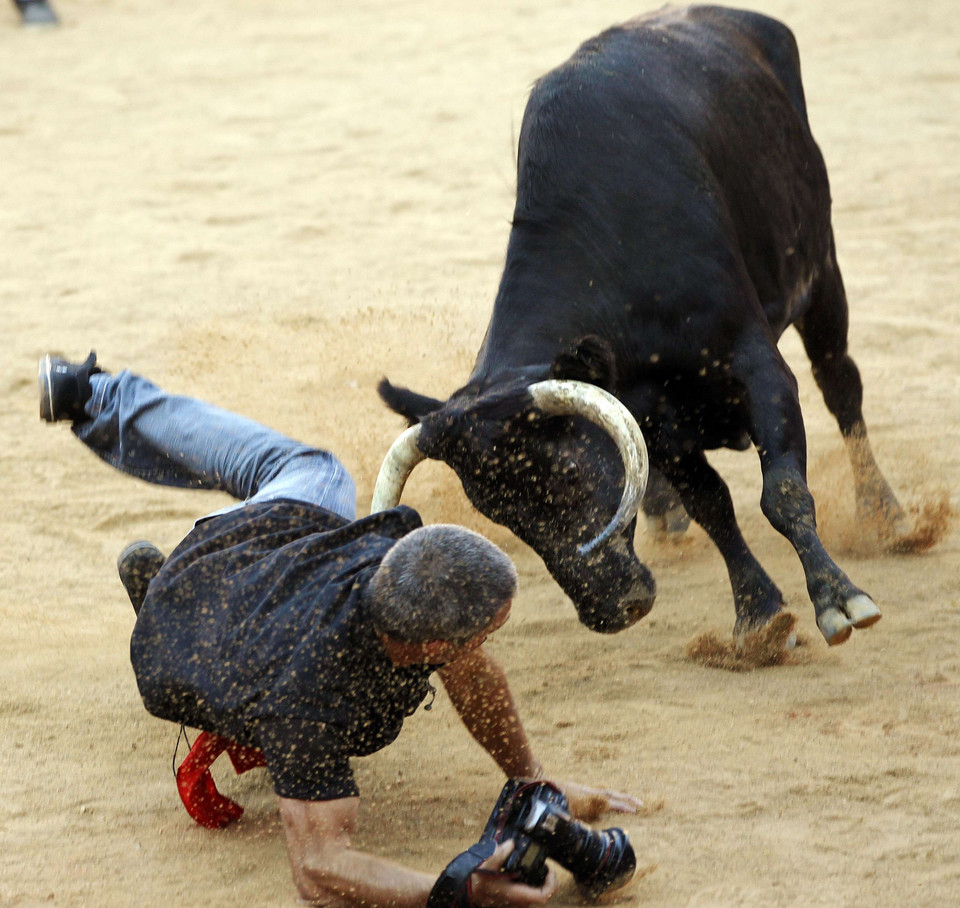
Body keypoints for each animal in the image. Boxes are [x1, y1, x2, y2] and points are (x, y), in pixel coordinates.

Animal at [376, 7, 908, 644]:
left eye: (568, 473)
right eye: (495, 510)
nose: (611, 610)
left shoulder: (757, 366)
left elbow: (781, 492)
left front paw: (839, 599)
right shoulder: (655, 422)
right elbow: (713, 506)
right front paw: (758, 615)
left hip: (822, 271)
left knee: (842, 387)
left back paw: (887, 516)